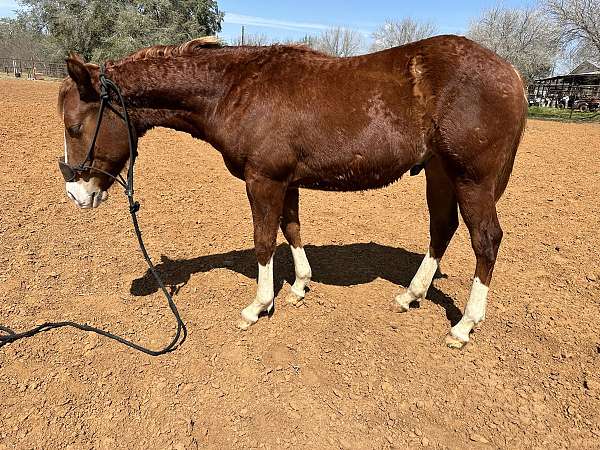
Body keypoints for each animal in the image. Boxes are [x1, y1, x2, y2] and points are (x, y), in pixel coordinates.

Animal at [56, 37, 524, 350]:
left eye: (75, 127)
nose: (76, 193)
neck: (234, 89)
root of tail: (513, 75)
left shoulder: (263, 180)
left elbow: (264, 241)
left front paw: (258, 306)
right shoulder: (287, 181)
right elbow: (292, 228)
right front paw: (299, 285)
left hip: (472, 180)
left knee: (486, 241)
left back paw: (464, 326)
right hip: (440, 173)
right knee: (441, 228)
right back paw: (411, 295)